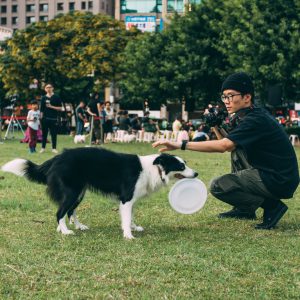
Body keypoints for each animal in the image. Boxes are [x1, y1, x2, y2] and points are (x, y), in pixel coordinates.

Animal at [2, 148, 198, 239]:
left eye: (185, 164)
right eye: (181, 166)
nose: (196, 174)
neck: (154, 168)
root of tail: (57, 158)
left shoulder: (132, 200)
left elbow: (132, 216)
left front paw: (134, 227)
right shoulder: (127, 198)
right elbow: (126, 218)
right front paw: (128, 235)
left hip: (79, 192)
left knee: (69, 211)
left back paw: (76, 226)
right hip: (72, 191)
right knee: (60, 212)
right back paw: (65, 231)